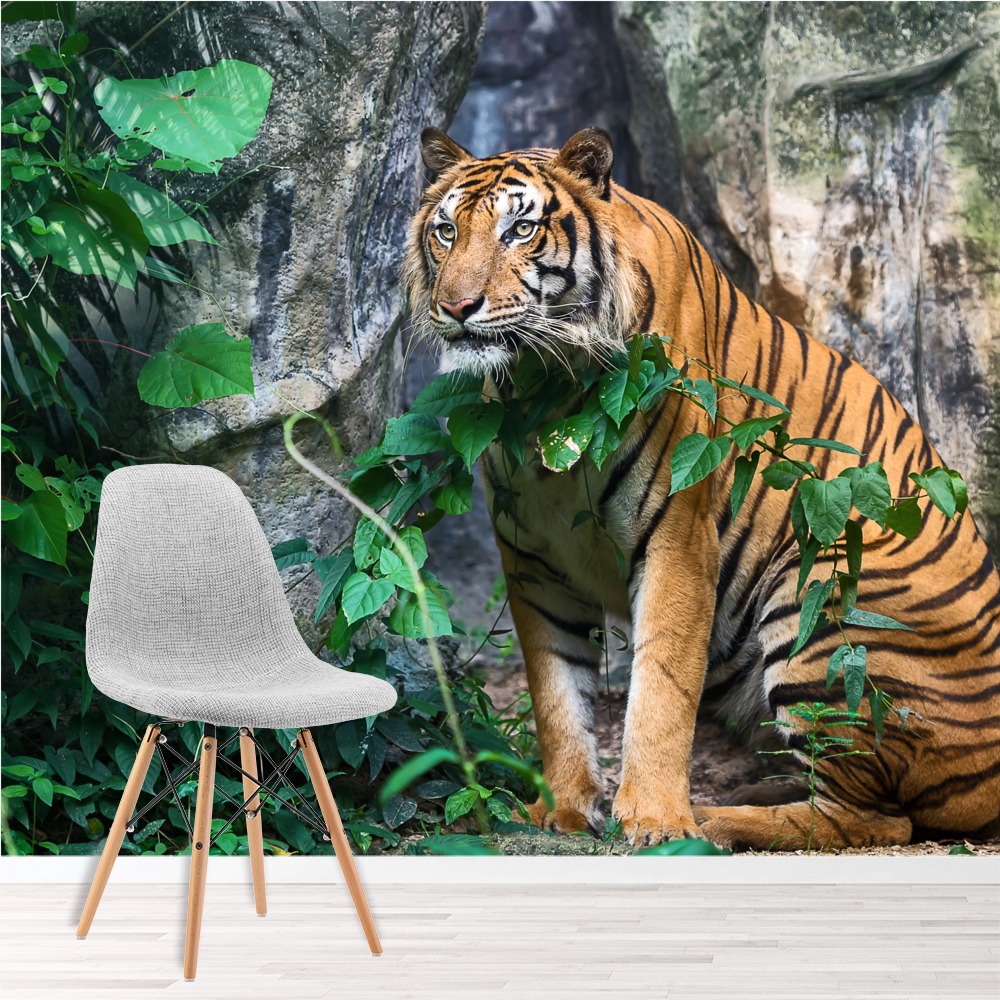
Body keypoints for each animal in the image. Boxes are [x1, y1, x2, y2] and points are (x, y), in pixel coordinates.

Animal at [403, 126, 1000, 850]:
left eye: (520, 229)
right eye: (446, 231)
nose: (456, 308)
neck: (545, 391)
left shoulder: (678, 540)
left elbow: (661, 684)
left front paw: (655, 819)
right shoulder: (533, 560)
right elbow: (555, 690)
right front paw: (565, 808)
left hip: (821, 598)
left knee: (868, 818)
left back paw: (715, 817)